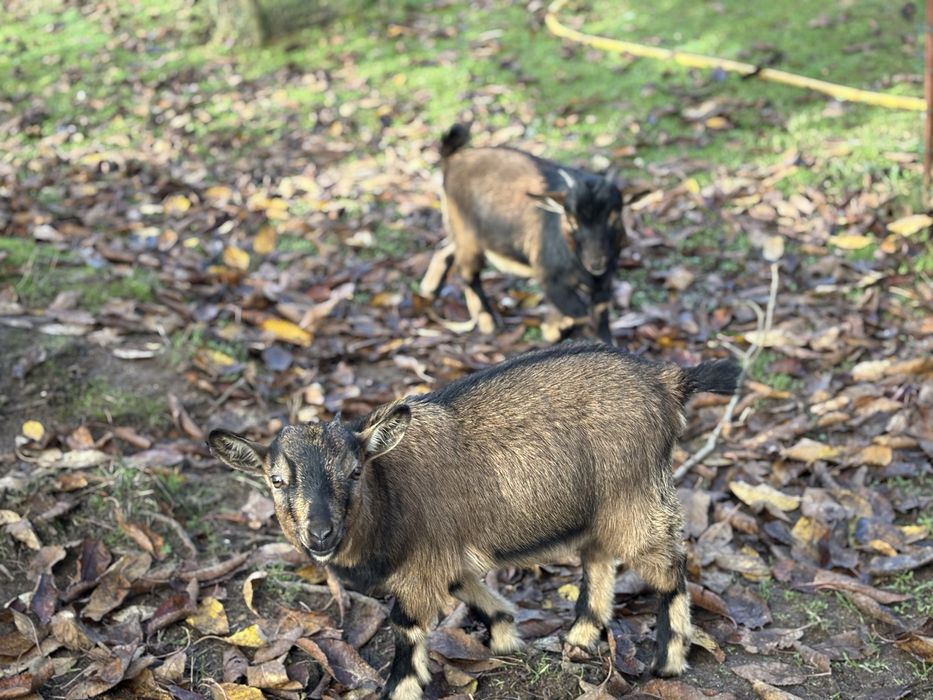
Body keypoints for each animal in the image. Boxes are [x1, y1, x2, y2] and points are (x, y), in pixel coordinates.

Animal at [209, 343, 740, 700]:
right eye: (276, 480)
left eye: (354, 471)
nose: (320, 535)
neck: (387, 493)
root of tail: (667, 380)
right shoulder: (447, 555)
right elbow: (467, 588)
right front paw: (506, 634)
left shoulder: (423, 562)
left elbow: (406, 624)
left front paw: (399, 688)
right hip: (599, 509)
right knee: (599, 561)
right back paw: (577, 638)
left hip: (633, 499)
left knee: (669, 567)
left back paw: (668, 663)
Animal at [420, 124, 626, 344]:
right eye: (572, 222)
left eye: (614, 218)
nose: (596, 262)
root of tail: (453, 161)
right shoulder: (549, 278)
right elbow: (579, 312)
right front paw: (555, 330)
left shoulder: (604, 282)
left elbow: (600, 316)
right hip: (468, 235)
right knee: (467, 272)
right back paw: (486, 320)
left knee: (445, 249)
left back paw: (429, 289)